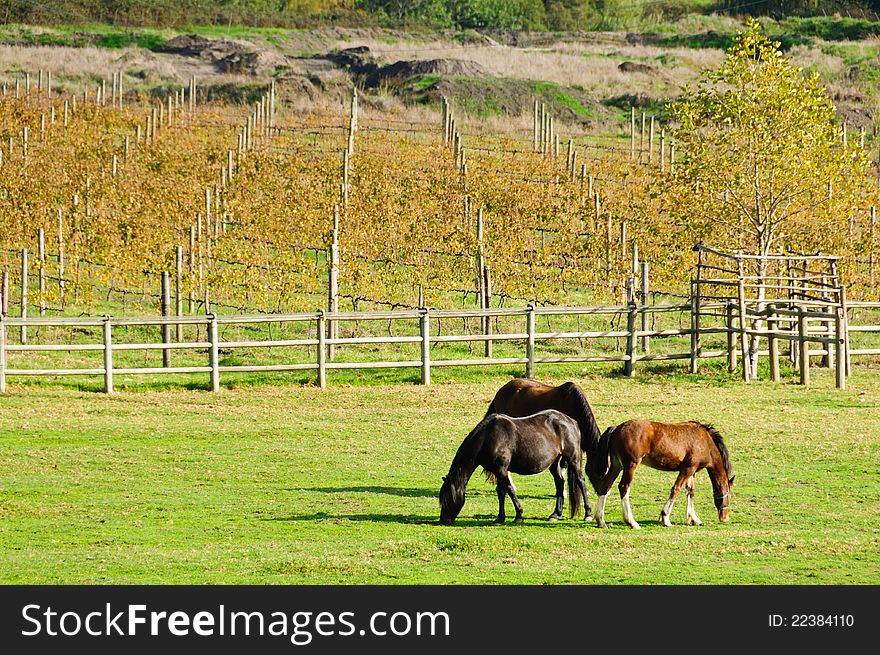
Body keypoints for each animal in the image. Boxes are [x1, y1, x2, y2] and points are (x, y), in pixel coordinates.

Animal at [438, 410, 588, 528]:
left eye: (447, 499)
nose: (444, 520)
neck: (488, 437)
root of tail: (572, 421)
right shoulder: (500, 471)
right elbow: (510, 490)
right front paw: (519, 515)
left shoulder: (501, 469)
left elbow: (501, 492)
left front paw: (499, 519)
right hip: (554, 463)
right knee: (560, 483)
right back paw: (555, 514)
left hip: (573, 459)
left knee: (580, 481)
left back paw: (588, 514)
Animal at [592, 422, 736, 532]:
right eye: (729, 496)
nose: (725, 518)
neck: (705, 441)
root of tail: (617, 428)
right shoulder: (687, 468)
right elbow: (676, 489)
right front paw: (665, 518)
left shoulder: (692, 471)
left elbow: (690, 491)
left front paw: (693, 519)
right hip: (630, 465)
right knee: (624, 487)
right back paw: (631, 522)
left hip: (616, 465)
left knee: (605, 486)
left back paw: (601, 521)